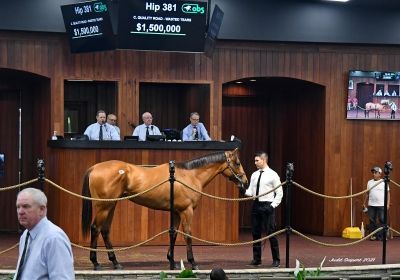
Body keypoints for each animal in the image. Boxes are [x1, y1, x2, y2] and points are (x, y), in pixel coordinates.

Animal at [82, 148, 247, 270]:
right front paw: (193, 262)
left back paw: (115, 262)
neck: (189, 175)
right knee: (95, 228)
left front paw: (172, 261)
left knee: (105, 230)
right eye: (238, 163)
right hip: (103, 207)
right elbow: (188, 235)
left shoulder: (176, 212)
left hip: (111, 205)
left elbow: (173, 234)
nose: (245, 182)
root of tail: (94, 167)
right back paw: (95, 263)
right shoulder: (186, 211)